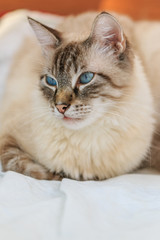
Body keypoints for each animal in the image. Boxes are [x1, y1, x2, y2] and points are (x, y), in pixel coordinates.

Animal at [0, 11, 159, 180]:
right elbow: (28, 169)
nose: (60, 107)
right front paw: (56, 175)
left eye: (85, 78)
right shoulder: (8, 138)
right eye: (51, 81)